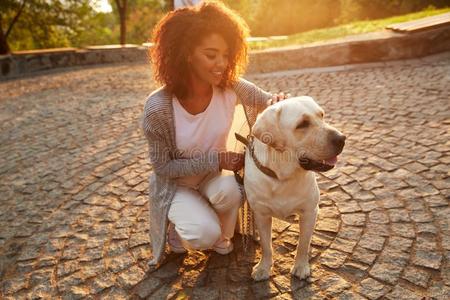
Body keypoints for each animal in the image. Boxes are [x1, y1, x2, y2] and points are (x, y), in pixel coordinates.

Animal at [244, 96, 346, 282]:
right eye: (302, 124)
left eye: (322, 115)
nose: (342, 138)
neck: (283, 176)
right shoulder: (262, 214)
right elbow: (266, 245)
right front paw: (263, 267)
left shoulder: (309, 211)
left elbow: (303, 243)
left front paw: (300, 266)